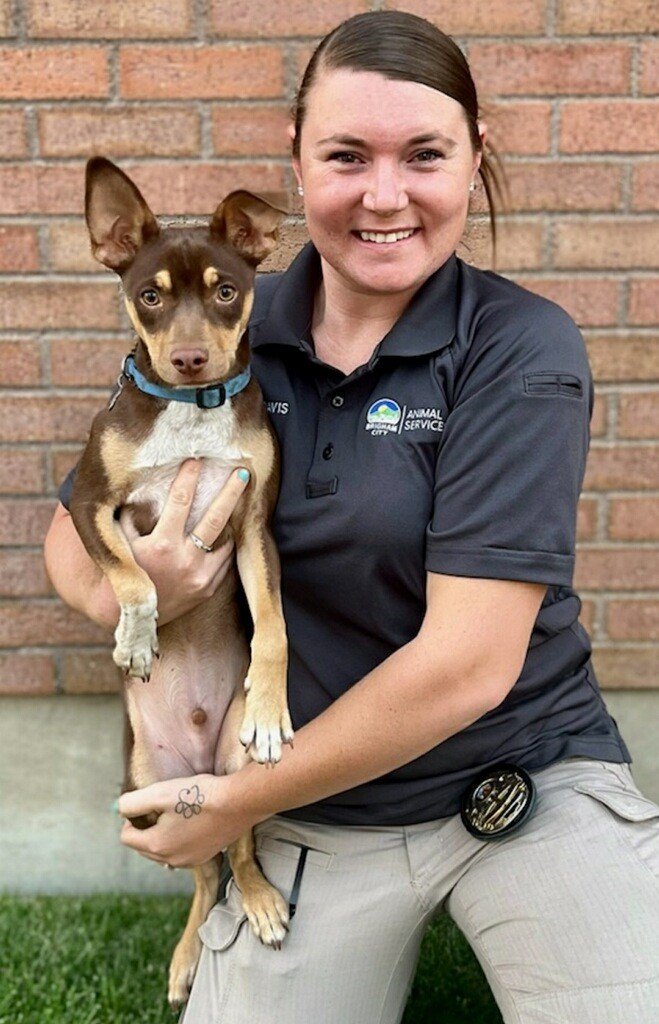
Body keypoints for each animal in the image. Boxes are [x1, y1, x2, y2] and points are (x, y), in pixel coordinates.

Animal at [68, 157, 292, 1007]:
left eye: (226, 291)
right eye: (151, 296)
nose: (191, 360)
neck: (192, 414)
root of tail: (195, 765)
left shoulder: (255, 525)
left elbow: (274, 624)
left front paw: (271, 705)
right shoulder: (88, 503)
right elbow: (133, 575)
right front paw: (136, 638)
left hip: (234, 776)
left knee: (231, 850)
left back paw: (257, 901)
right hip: (145, 799)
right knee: (200, 872)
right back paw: (188, 955)